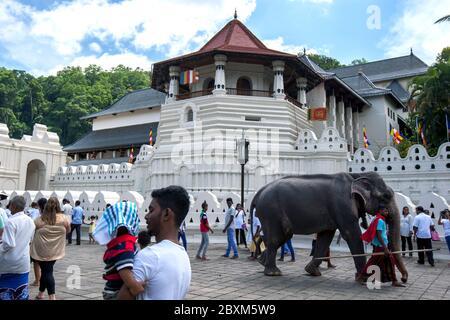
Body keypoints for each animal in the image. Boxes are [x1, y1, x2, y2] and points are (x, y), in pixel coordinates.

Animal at [250, 172, 408, 282]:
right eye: (386, 196)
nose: (404, 279)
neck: (356, 176)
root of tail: (259, 192)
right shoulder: (343, 205)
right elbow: (351, 234)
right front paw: (364, 278)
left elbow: (326, 237)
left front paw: (313, 272)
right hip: (271, 212)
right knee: (276, 238)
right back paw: (273, 272)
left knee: (282, 237)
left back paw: (262, 263)